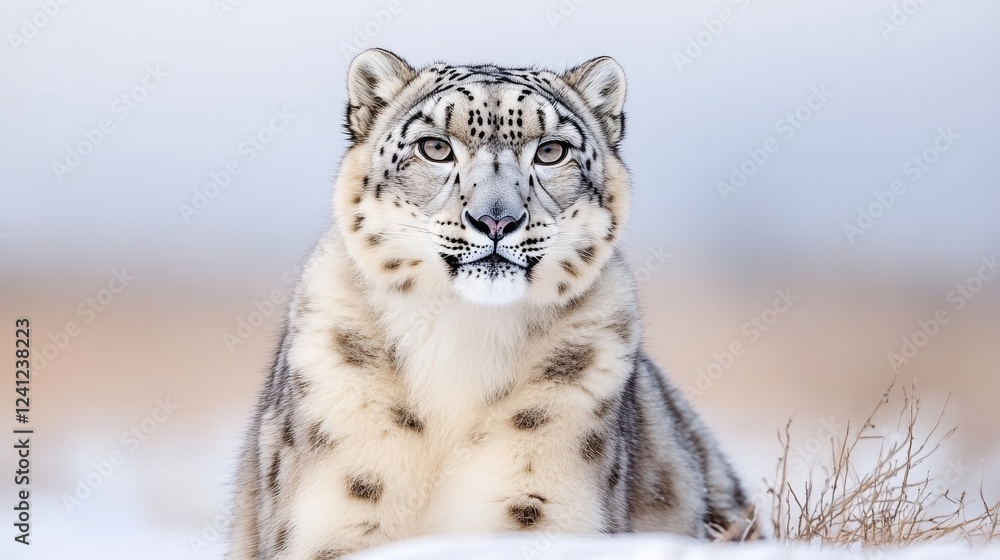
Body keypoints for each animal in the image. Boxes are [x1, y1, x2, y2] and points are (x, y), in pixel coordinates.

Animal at [228, 48, 756, 559]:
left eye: (551, 151)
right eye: (436, 147)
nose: (496, 220)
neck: (463, 337)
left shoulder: (540, 506)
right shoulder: (342, 515)